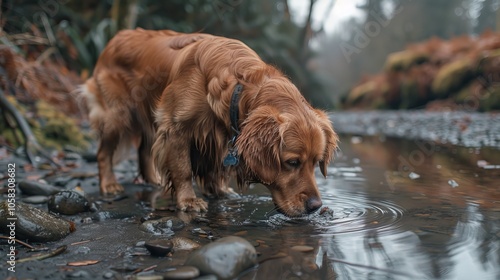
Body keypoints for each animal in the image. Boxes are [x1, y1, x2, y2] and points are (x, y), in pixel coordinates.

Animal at [83, 28, 340, 217]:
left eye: (316, 162)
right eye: (292, 162)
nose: (315, 206)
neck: (238, 86)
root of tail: (116, 37)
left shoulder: (219, 134)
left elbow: (215, 167)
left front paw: (219, 191)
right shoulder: (176, 127)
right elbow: (183, 168)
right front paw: (188, 200)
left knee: (144, 149)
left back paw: (152, 179)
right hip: (117, 115)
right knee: (104, 152)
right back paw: (109, 184)